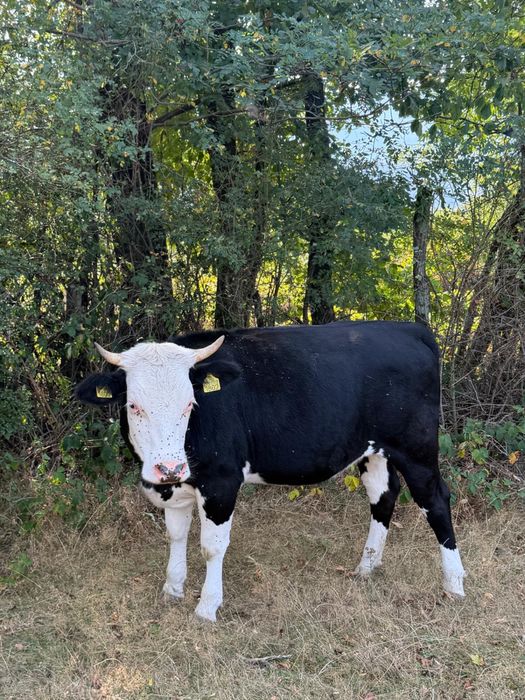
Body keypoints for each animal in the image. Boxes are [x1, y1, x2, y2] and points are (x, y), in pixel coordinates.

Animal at [75, 321, 465, 621]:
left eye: (190, 403)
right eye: (133, 406)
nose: (169, 466)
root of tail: (407, 328)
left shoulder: (221, 482)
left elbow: (211, 547)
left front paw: (207, 606)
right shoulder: (174, 486)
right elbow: (176, 535)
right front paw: (172, 588)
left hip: (416, 449)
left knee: (436, 501)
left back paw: (454, 584)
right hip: (373, 450)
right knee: (383, 496)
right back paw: (367, 568)